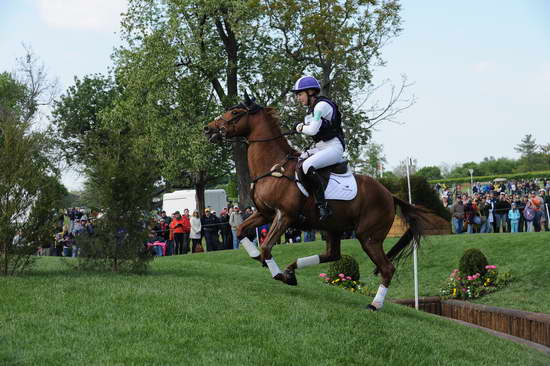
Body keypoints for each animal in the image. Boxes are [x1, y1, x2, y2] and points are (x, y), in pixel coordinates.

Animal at [203, 93, 436, 308]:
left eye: (235, 112)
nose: (208, 129)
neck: (273, 167)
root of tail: (390, 195)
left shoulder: (284, 216)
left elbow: (267, 246)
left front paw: (279, 275)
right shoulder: (264, 213)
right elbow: (241, 230)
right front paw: (258, 258)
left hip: (368, 237)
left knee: (386, 268)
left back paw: (374, 304)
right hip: (334, 227)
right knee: (332, 255)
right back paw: (291, 268)